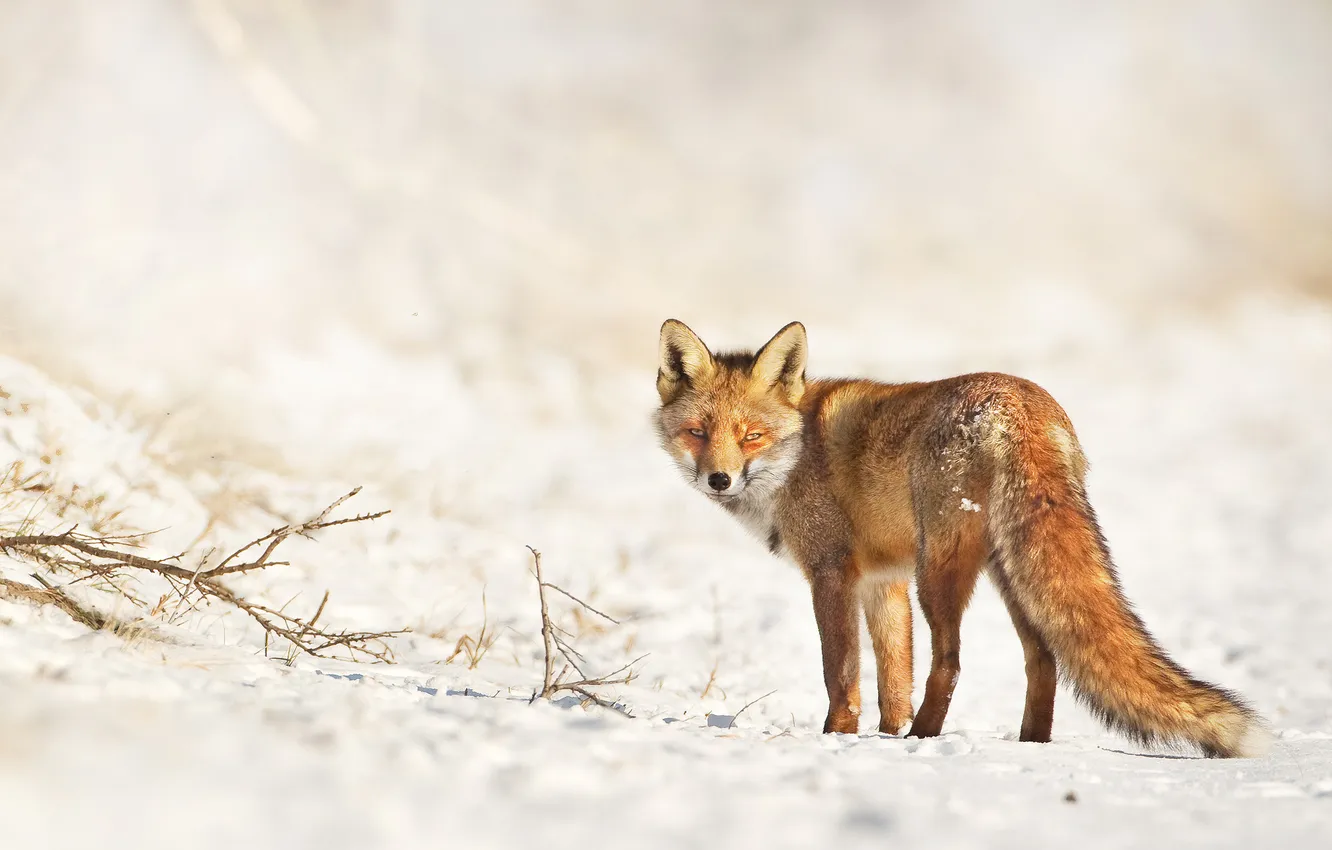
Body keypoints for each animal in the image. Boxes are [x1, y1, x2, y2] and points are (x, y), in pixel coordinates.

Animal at [654, 319, 1269, 758]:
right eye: (697, 432)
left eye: (750, 436)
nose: (719, 479)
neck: (800, 452)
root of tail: (1022, 403)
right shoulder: (882, 583)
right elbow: (892, 678)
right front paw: (884, 734)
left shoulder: (833, 572)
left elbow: (842, 673)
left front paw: (840, 737)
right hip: (1009, 573)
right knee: (1043, 659)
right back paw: (1028, 745)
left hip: (941, 571)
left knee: (950, 662)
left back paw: (924, 739)